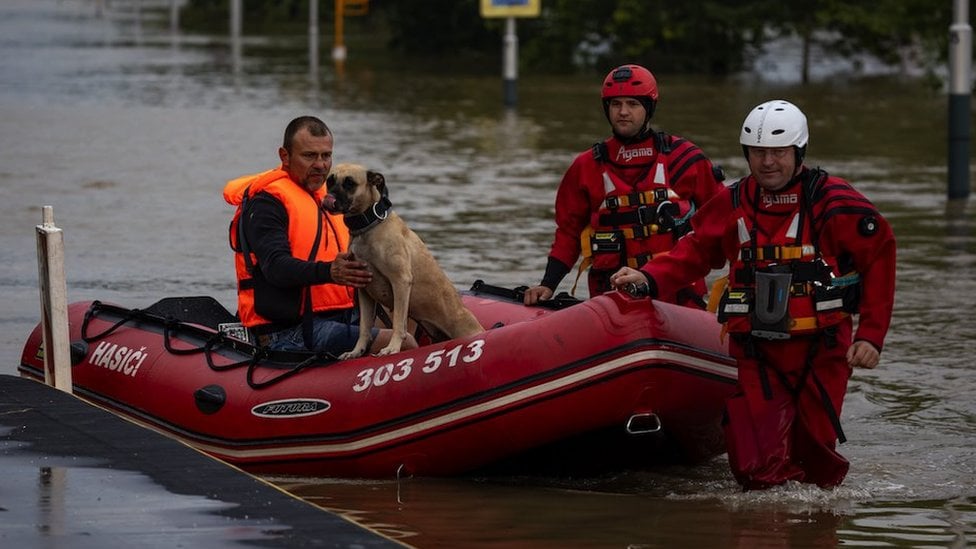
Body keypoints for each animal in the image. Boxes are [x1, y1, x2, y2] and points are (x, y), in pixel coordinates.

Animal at [324, 164, 484, 360]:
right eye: (330, 181)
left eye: (349, 183)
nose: (329, 198)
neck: (368, 226)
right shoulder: (364, 290)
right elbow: (364, 328)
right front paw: (356, 351)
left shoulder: (400, 281)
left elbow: (399, 324)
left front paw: (392, 348)